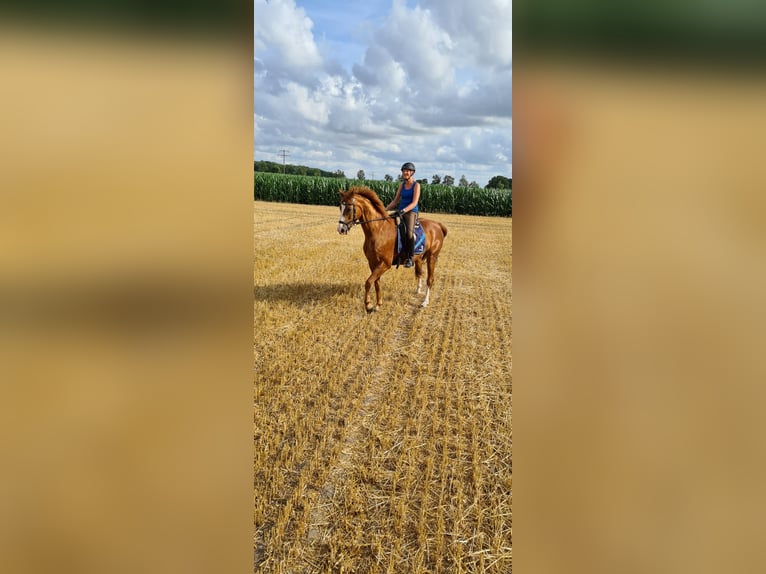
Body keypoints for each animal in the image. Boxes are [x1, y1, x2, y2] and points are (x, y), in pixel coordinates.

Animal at [338, 188, 450, 316]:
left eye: (349, 208)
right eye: (340, 207)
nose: (341, 229)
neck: (378, 229)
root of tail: (438, 225)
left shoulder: (385, 264)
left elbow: (368, 282)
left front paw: (368, 305)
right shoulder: (373, 263)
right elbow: (376, 283)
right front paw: (378, 305)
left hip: (432, 257)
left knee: (430, 279)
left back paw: (425, 302)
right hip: (419, 258)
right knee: (419, 273)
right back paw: (418, 290)